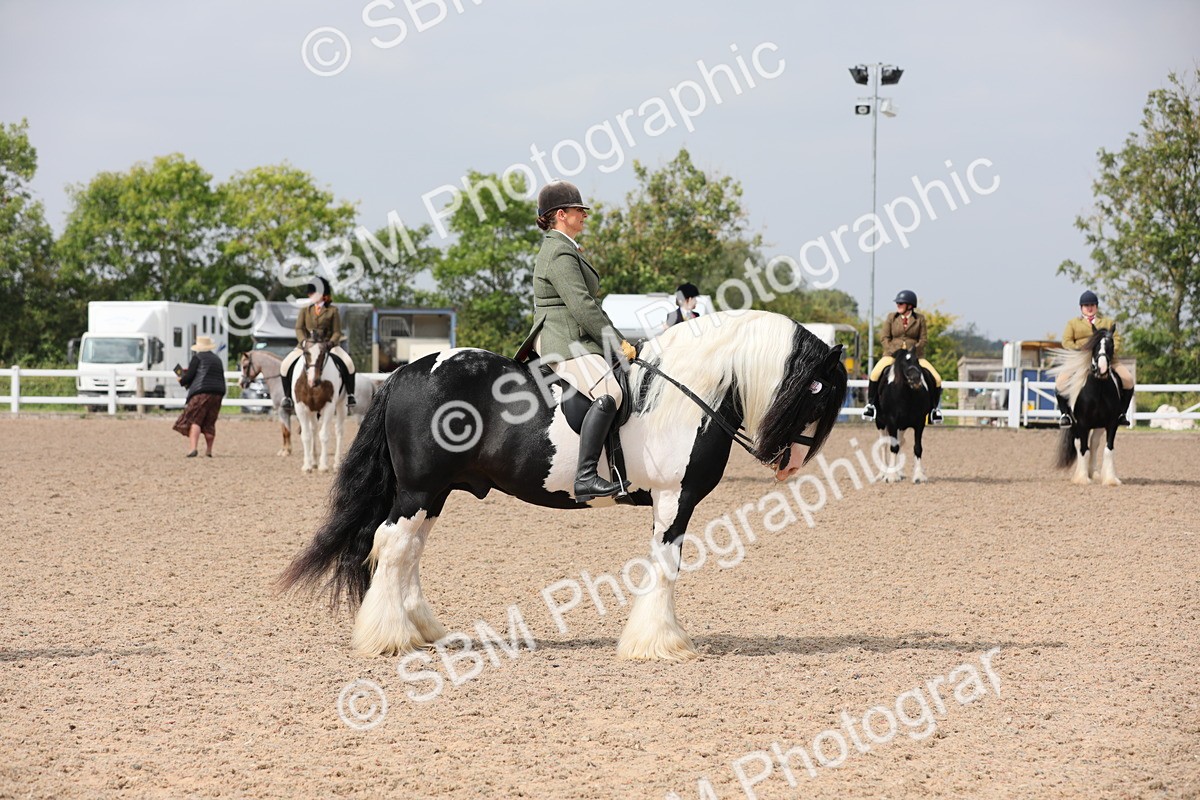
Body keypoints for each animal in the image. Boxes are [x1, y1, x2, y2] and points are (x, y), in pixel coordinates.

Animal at [292, 337, 349, 474]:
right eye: (306, 353)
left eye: (323, 354)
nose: (314, 381)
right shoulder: (301, 408)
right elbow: (306, 435)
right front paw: (307, 465)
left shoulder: (329, 407)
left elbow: (324, 435)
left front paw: (323, 465)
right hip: (312, 410)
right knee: (313, 429)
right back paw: (313, 462)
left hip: (341, 405)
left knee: (339, 431)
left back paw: (336, 464)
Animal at [872, 347, 935, 483]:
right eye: (902, 363)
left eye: (917, 361)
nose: (916, 379)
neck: (907, 395)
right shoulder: (892, 422)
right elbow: (892, 447)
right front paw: (890, 476)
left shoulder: (919, 423)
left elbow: (917, 447)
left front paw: (918, 476)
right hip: (880, 422)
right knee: (884, 445)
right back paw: (882, 474)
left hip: (902, 426)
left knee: (900, 441)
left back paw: (899, 473)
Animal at [1051, 327, 1131, 486]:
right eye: (1094, 346)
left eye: (1112, 345)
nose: (1101, 369)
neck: (1099, 388)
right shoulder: (1082, 423)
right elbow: (1083, 449)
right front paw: (1082, 479)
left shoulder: (1111, 423)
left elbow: (1108, 449)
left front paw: (1110, 479)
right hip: (1075, 425)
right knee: (1078, 444)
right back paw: (1080, 474)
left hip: (1098, 425)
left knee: (1094, 444)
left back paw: (1093, 473)